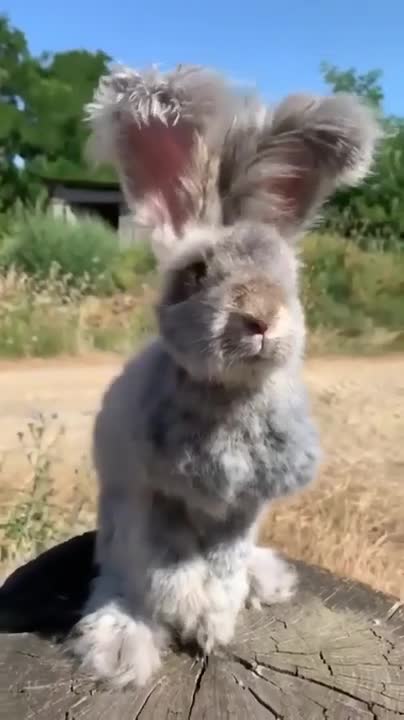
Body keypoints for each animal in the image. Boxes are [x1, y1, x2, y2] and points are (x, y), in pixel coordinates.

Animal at [68, 64, 381, 687]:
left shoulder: (243, 509)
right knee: (121, 581)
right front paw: (192, 615)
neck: (229, 396)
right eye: (195, 273)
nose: (260, 318)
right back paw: (121, 645)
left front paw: (214, 625)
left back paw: (266, 581)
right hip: (114, 532)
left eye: (289, 276)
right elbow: (171, 569)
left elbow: (223, 567)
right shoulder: (155, 499)